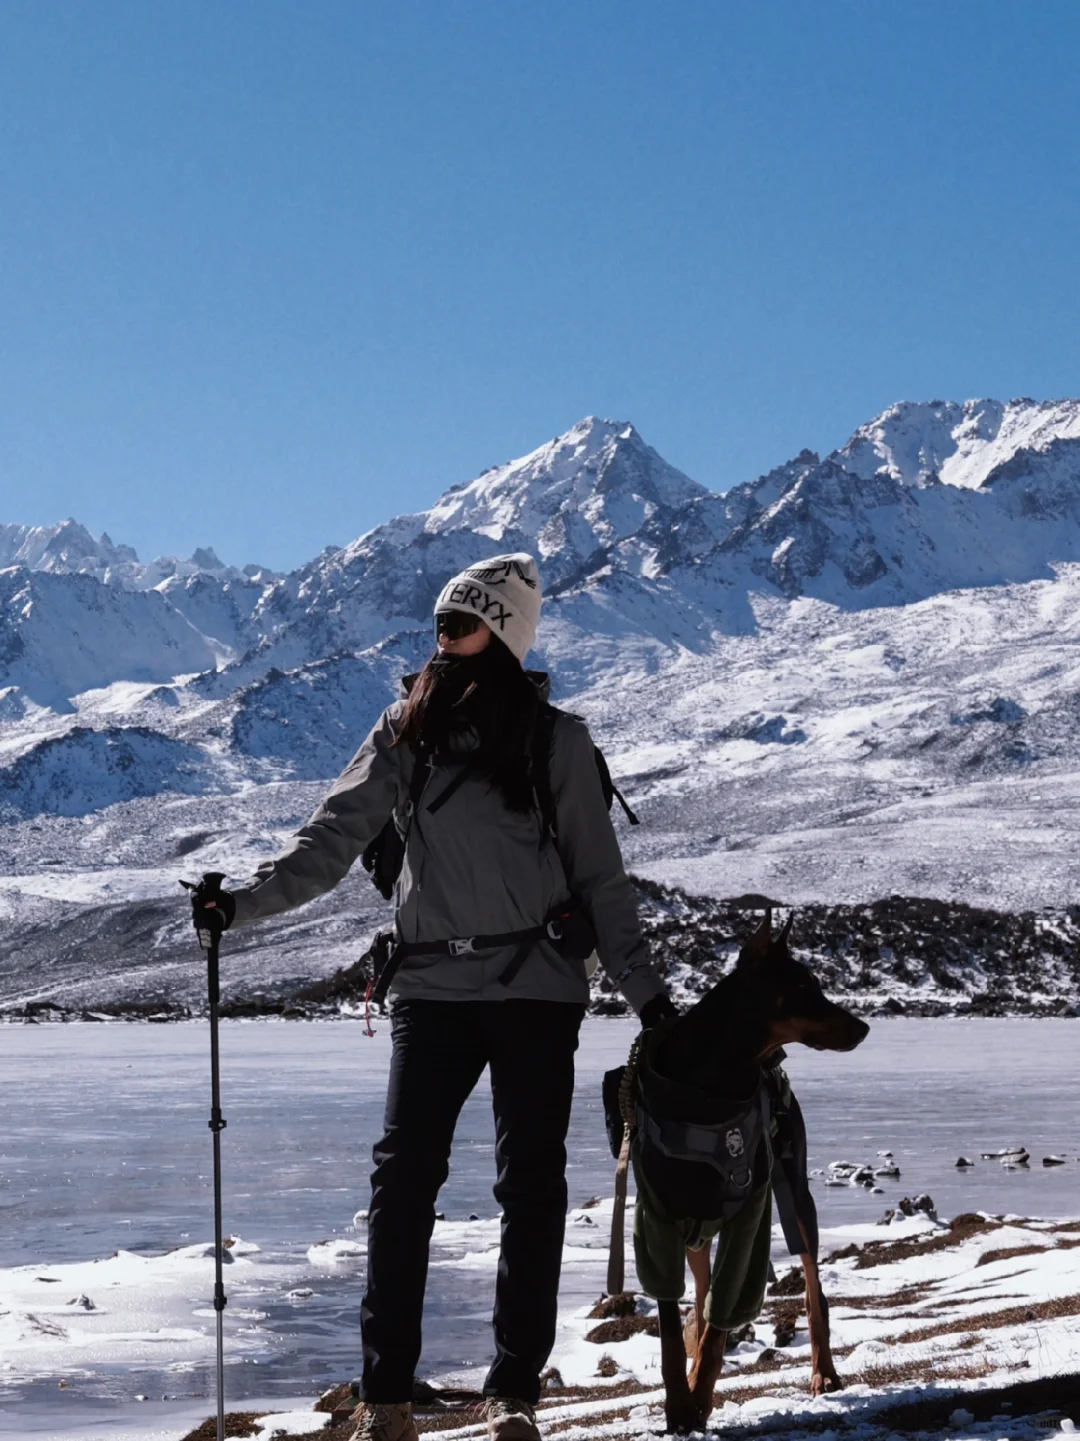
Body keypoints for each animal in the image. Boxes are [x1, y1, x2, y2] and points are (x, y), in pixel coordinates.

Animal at [631, 910, 865, 1429]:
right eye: (804, 986)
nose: (863, 1028)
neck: (709, 1091)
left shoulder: (750, 1216)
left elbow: (722, 1320)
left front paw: (697, 1404)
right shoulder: (658, 1215)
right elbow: (673, 1329)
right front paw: (680, 1405)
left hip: (795, 1193)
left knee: (812, 1290)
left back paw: (823, 1372)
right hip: (696, 1229)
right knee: (700, 1295)